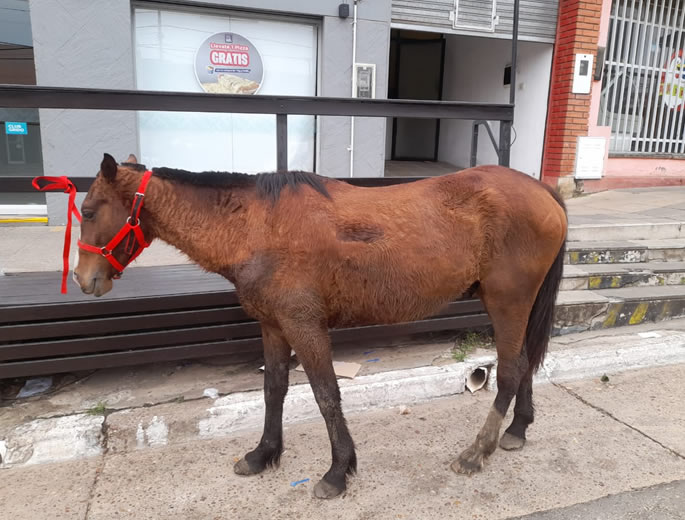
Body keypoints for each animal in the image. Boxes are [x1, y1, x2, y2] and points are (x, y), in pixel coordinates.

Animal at [73, 153, 568, 500]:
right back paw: (516, 431)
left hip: (507, 302)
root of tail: (542, 191)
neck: (256, 225)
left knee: (509, 370)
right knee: (524, 362)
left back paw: (478, 450)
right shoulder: (273, 326)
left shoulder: (304, 326)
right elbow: (274, 389)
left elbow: (326, 395)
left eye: (91, 211)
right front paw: (263, 453)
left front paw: (337, 471)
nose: (83, 279)